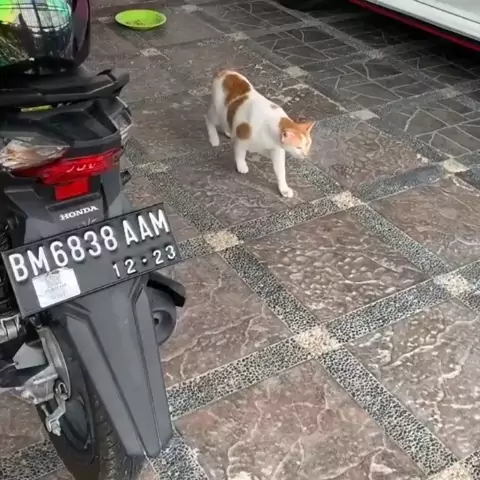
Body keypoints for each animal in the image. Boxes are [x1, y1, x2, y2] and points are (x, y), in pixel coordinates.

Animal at [205, 69, 316, 198]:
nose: (305, 155)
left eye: (308, 145)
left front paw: (284, 189)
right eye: (298, 147)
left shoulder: (277, 150)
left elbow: (280, 171)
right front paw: (241, 166)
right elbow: (240, 153)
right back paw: (214, 139)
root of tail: (225, 71)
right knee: (209, 119)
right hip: (218, 112)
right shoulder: (242, 138)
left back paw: (228, 131)